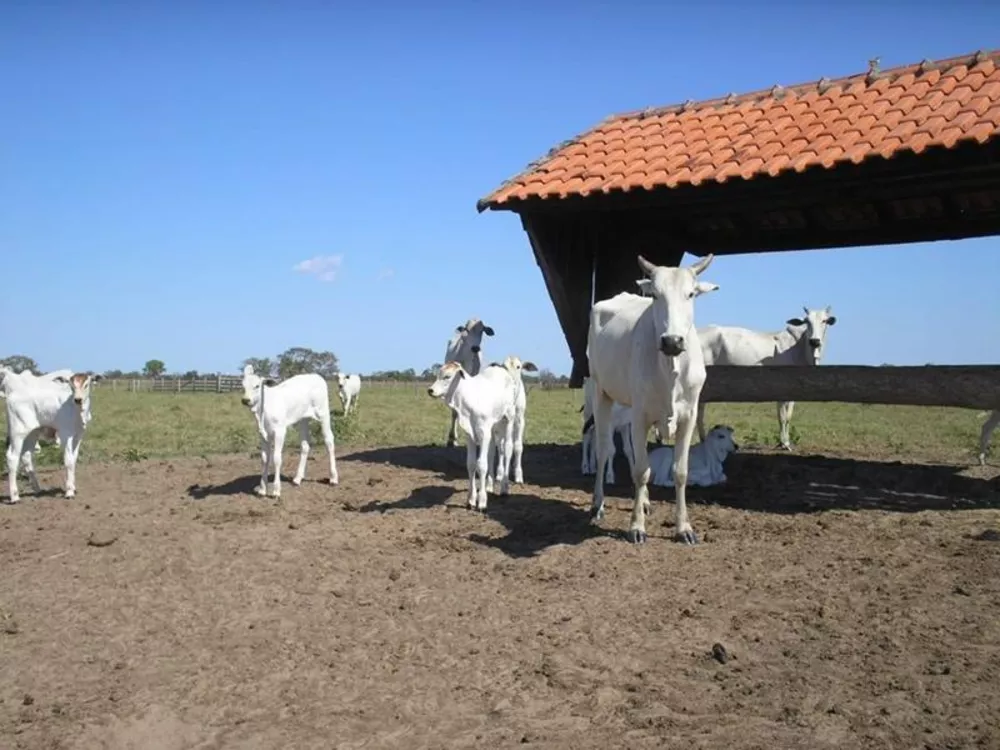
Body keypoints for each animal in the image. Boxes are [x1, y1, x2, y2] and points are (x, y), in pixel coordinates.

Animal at [4, 372, 101, 506]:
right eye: (71, 386)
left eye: (86, 384)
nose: (78, 399)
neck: (77, 410)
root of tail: (11, 396)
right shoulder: (65, 435)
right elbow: (68, 460)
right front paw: (69, 491)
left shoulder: (78, 435)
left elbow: (74, 459)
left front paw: (73, 487)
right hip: (18, 432)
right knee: (12, 457)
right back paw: (14, 497)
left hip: (33, 433)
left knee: (26, 455)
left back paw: (37, 489)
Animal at [426, 358, 516, 512]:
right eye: (438, 374)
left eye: (447, 376)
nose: (430, 390)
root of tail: (500, 369)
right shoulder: (470, 434)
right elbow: (471, 464)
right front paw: (471, 499)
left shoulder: (484, 433)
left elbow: (482, 465)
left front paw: (482, 501)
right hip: (492, 427)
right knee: (492, 453)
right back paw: (489, 485)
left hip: (508, 418)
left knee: (507, 450)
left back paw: (504, 488)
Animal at [584, 253, 720, 548]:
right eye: (656, 295)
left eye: (691, 293)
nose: (672, 341)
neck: (670, 368)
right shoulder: (639, 416)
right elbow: (640, 471)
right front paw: (636, 527)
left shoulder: (689, 416)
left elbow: (680, 472)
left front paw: (683, 528)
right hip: (601, 393)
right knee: (604, 450)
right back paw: (598, 503)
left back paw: (644, 501)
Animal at [696, 306, 836, 450]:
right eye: (807, 321)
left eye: (825, 320)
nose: (814, 341)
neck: (799, 347)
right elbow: (782, 417)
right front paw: (783, 443)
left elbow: (788, 416)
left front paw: (786, 442)